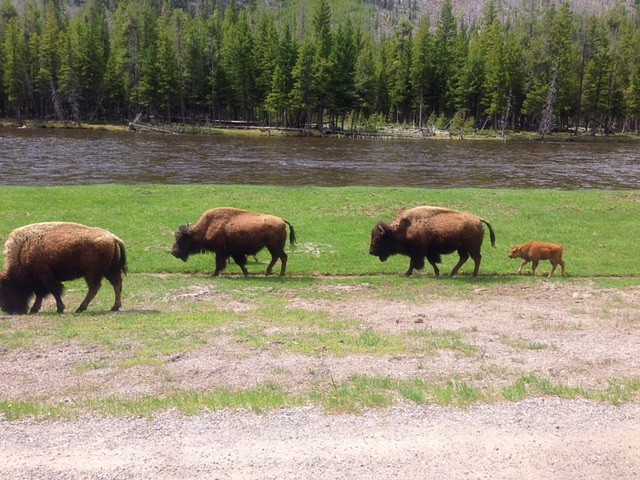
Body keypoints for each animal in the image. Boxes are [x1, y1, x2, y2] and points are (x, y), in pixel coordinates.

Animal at [368, 204, 498, 276]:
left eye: (378, 238)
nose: (371, 251)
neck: (405, 227)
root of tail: (478, 220)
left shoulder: (418, 251)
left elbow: (414, 262)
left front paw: (407, 273)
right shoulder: (427, 251)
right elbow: (431, 261)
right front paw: (437, 272)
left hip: (472, 247)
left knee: (476, 258)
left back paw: (473, 275)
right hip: (462, 248)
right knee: (464, 258)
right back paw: (452, 273)